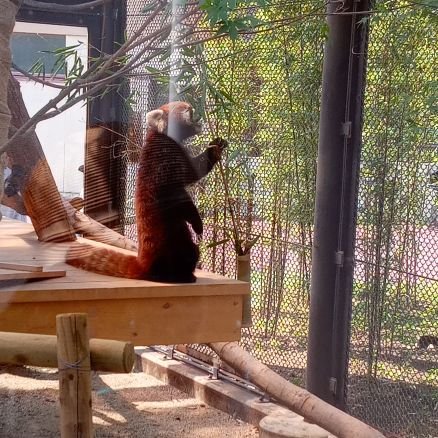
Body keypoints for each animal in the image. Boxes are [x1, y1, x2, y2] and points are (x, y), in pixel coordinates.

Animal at [67, 101, 229, 282]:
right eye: (189, 111)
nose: (200, 115)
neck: (162, 136)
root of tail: (144, 263)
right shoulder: (166, 161)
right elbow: (186, 184)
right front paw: (197, 223)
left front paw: (217, 145)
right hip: (174, 242)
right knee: (189, 252)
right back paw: (183, 275)